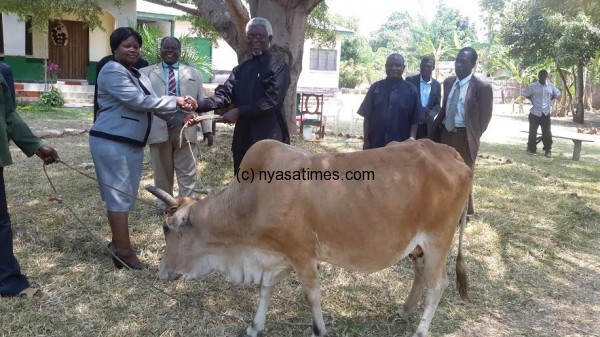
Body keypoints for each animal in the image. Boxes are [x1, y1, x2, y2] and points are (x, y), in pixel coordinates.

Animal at [146, 137, 474, 336]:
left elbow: (312, 295)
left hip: (438, 240)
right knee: (420, 275)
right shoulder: (277, 255)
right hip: (416, 245)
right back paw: (403, 312)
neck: (251, 200)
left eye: (167, 229)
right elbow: (265, 289)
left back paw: (420, 329)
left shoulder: (301, 254)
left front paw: (319, 329)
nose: (161, 272)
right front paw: (255, 326)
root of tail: (450, 153)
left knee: (437, 285)